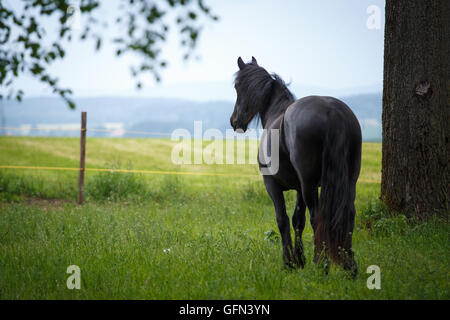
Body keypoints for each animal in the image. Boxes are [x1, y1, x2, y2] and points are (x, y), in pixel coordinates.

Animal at [232, 57, 362, 276]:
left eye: (237, 87)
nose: (234, 121)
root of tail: (332, 112)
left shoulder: (272, 185)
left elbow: (282, 219)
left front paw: (289, 261)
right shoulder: (299, 188)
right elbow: (297, 220)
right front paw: (299, 259)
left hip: (310, 185)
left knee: (318, 217)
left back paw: (321, 264)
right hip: (348, 181)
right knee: (348, 215)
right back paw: (349, 265)